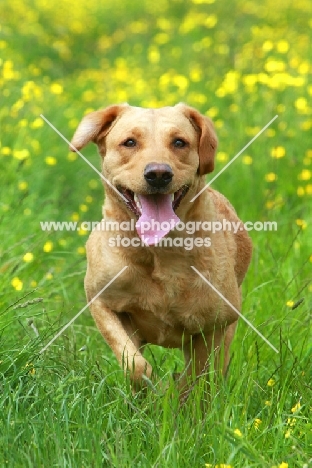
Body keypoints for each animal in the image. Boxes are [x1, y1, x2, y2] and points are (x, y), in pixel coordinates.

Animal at [69, 103, 252, 394]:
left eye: (179, 142)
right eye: (129, 142)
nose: (158, 174)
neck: (158, 252)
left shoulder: (213, 327)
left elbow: (199, 381)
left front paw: (178, 397)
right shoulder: (102, 304)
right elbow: (134, 364)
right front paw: (151, 391)